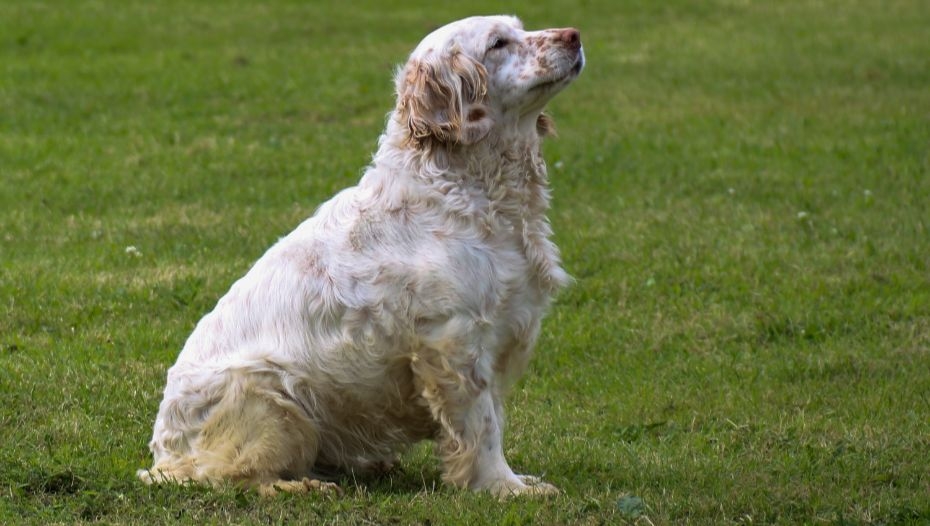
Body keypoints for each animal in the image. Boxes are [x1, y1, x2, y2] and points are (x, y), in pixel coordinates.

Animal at [136, 13, 580, 500]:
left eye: (521, 27)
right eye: (498, 43)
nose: (574, 36)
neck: (470, 187)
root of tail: (165, 453)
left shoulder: (499, 330)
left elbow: (493, 417)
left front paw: (515, 479)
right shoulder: (455, 340)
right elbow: (481, 428)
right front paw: (502, 486)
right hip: (273, 398)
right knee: (236, 476)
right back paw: (307, 485)